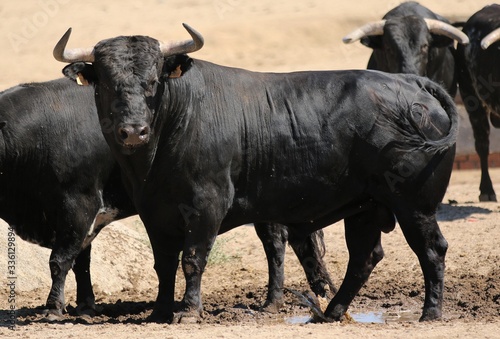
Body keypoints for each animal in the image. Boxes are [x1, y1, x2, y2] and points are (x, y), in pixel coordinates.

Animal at [0, 79, 336, 322]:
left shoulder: (78, 206)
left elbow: (61, 260)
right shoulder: (80, 217)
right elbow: (81, 261)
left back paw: (272, 302)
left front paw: (53, 308)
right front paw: (85, 306)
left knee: (275, 243)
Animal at [53, 24, 458, 324]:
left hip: (415, 205)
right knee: (364, 258)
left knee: (431, 249)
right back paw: (332, 312)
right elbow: (163, 264)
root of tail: (412, 85)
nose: (133, 131)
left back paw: (430, 313)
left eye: (153, 81)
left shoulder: (207, 204)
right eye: (106, 82)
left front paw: (189, 312)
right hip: (367, 207)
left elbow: (192, 258)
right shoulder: (155, 213)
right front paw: (160, 311)